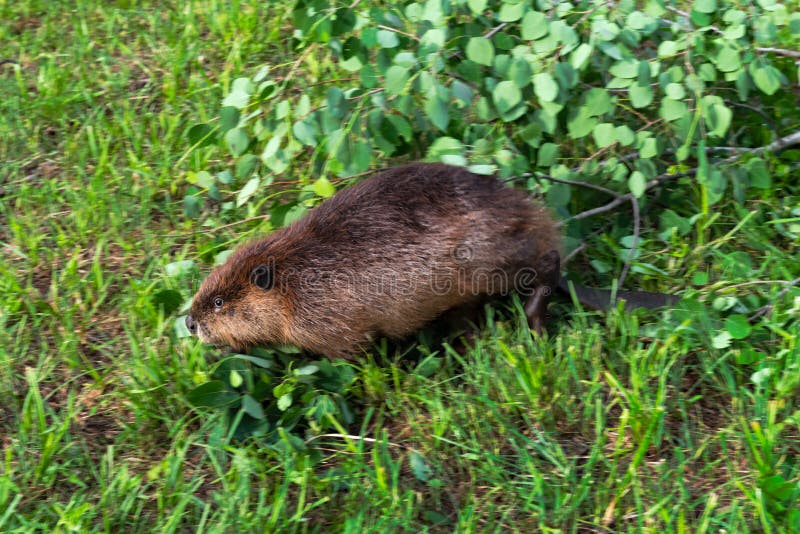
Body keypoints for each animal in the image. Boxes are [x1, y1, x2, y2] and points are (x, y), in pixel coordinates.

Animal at [188, 163, 676, 360]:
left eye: (218, 302)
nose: (189, 322)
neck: (298, 273)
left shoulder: (333, 320)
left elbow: (350, 354)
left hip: (487, 259)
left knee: (547, 267)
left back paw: (534, 324)